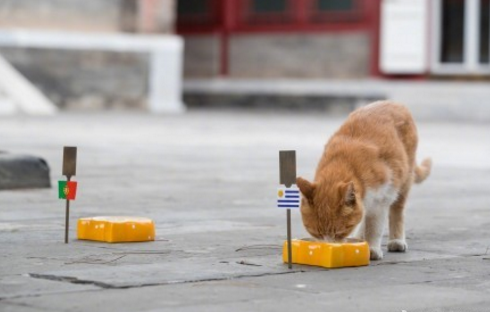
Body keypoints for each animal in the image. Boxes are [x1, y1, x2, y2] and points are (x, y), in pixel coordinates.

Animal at [296, 101, 430, 260]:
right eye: (316, 233)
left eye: (340, 232)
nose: (329, 246)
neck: (343, 162)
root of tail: (394, 103)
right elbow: (364, 218)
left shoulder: (381, 199)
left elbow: (374, 227)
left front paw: (371, 248)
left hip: (403, 180)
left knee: (397, 210)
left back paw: (396, 240)